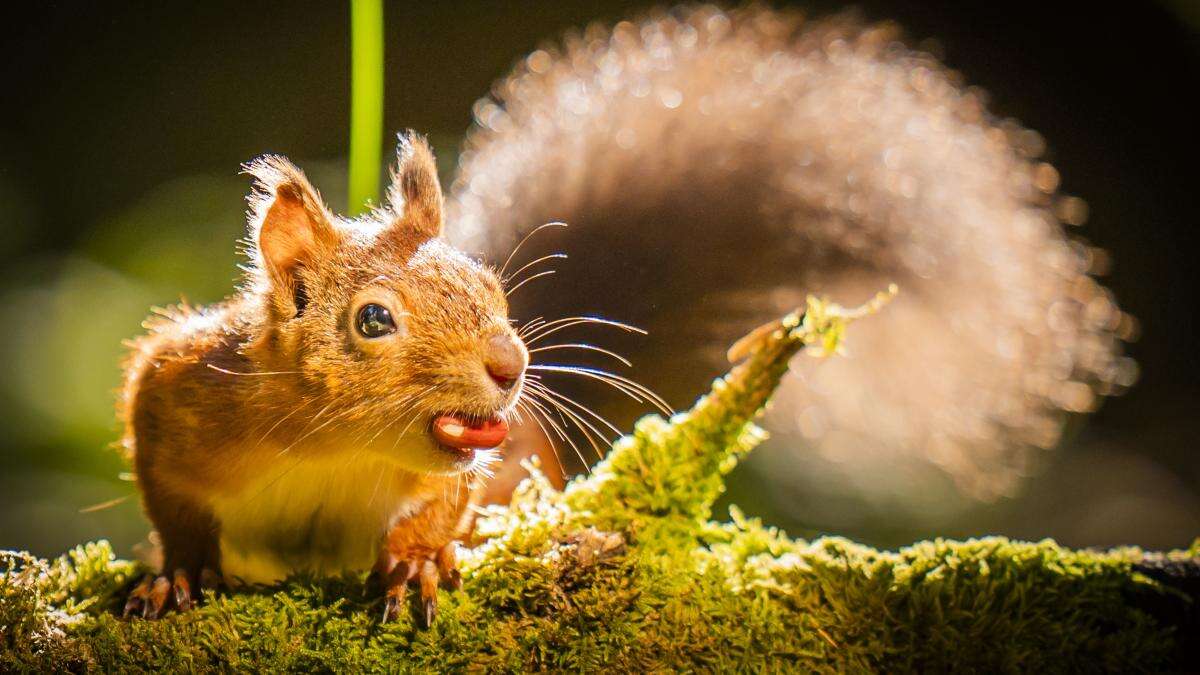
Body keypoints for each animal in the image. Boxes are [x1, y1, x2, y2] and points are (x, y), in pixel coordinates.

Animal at [119, 133, 523, 624]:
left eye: (492, 288)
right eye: (373, 319)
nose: (511, 364)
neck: (336, 449)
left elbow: (443, 506)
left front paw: (416, 562)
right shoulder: (173, 396)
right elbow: (175, 511)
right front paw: (182, 572)